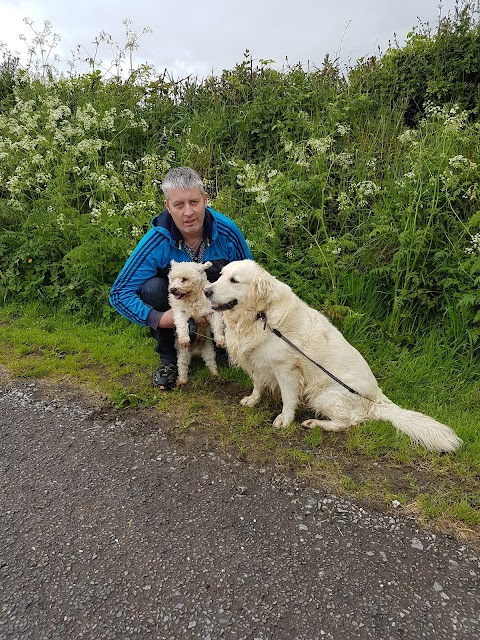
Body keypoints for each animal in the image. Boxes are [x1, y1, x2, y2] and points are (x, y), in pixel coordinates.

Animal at [168, 258, 226, 388]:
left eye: (184, 279)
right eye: (172, 279)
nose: (172, 289)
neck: (192, 299)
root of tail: (195, 352)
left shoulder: (212, 312)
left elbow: (217, 326)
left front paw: (220, 339)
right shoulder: (180, 312)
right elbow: (182, 325)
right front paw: (184, 339)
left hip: (209, 351)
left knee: (210, 362)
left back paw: (215, 375)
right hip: (183, 355)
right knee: (183, 367)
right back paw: (182, 381)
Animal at [204, 258, 464, 452]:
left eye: (234, 280)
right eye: (220, 275)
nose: (206, 291)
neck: (260, 314)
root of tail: (376, 400)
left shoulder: (286, 369)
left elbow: (288, 398)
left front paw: (284, 420)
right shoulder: (257, 361)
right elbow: (257, 384)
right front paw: (252, 400)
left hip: (324, 395)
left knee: (348, 422)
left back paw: (315, 423)